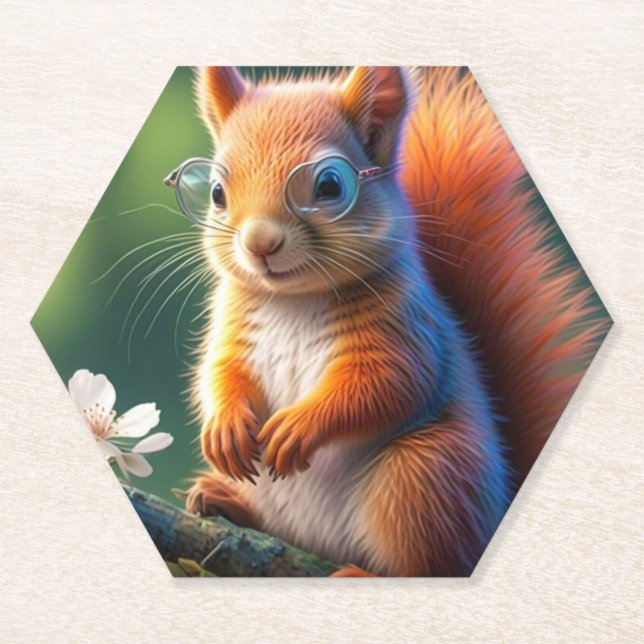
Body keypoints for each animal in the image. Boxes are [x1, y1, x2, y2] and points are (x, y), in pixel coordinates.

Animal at [183, 66, 609, 576]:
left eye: (330, 186)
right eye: (216, 192)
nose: (260, 244)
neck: (295, 300)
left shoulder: (407, 330)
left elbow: (385, 385)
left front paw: (299, 427)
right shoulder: (232, 327)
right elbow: (219, 374)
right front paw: (223, 426)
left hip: (422, 474)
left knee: (430, 563)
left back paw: (356, 573)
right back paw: (223, 499)